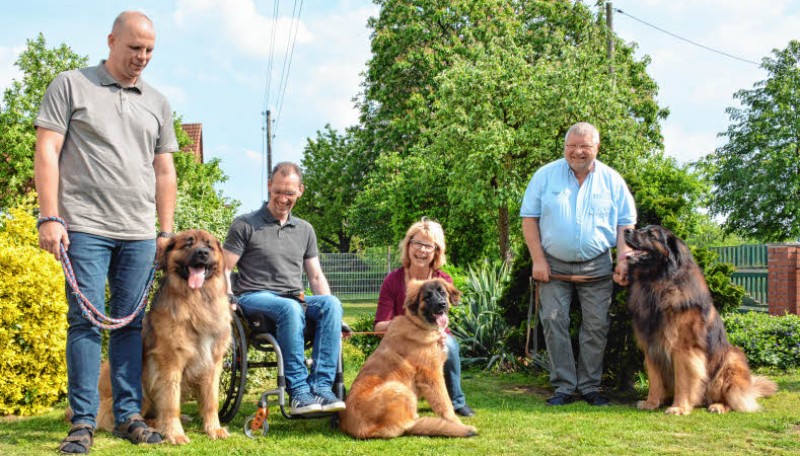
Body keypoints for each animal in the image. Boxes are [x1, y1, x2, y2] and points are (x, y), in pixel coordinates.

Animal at [95, 230, 231, 444]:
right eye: (188, 244)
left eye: (209, 246)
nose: (202, 253)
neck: (197, 300)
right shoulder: (169, 361)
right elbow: (170, 402)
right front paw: (175, 433)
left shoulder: (212, 362)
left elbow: (211, 401)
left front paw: (214, 429)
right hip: (139, 388)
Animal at [340, 278, 478, 438]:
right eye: (427, 297)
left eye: (443, 293)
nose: (442, 304)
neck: (417, 324)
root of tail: (360, 430)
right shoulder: (431, 375)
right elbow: (445, 404)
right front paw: (456, 423)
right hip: (400, 389)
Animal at [624, 226, 776, 416]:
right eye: (642, 229)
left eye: (651, 234)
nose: (626, 230)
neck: (656, 283)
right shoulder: (651, 348)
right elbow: (654, 379)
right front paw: (651, 402)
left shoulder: (684, 350)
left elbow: (683, 381)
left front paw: (679, 407)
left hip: (731, 361)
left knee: (731, 398)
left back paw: (718, 406)